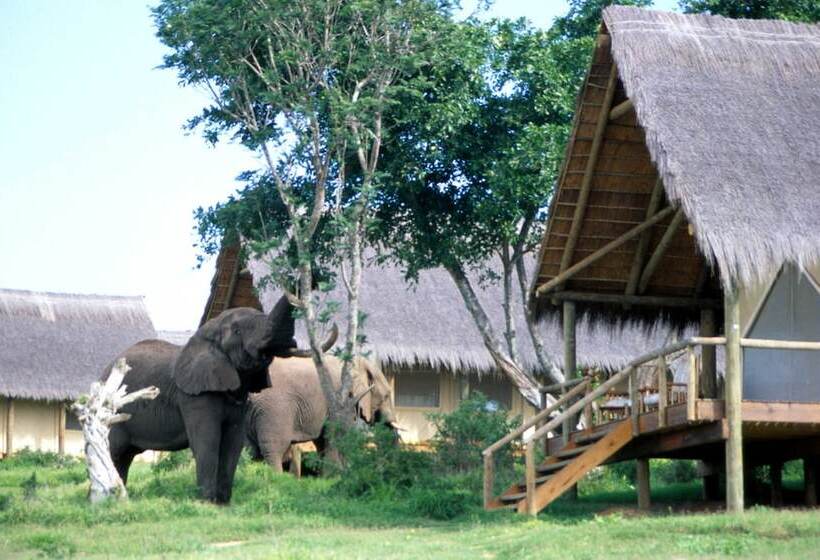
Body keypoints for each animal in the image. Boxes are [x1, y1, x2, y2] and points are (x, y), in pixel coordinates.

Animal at [104, 296, 331, 503]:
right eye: (238, 331)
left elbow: (233, 442)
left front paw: (223, 504)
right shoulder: (193, 396)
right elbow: (208, 442)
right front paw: (206, 504)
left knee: (124, 457)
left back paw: (118, 500)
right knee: (113, 452)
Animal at [246, 355, 398, 473]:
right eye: (386, 396)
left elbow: (323, 439)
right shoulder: (340, 402)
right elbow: (337, 434)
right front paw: (333, 477)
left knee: (250, 450)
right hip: (274, 408)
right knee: (274, 449)